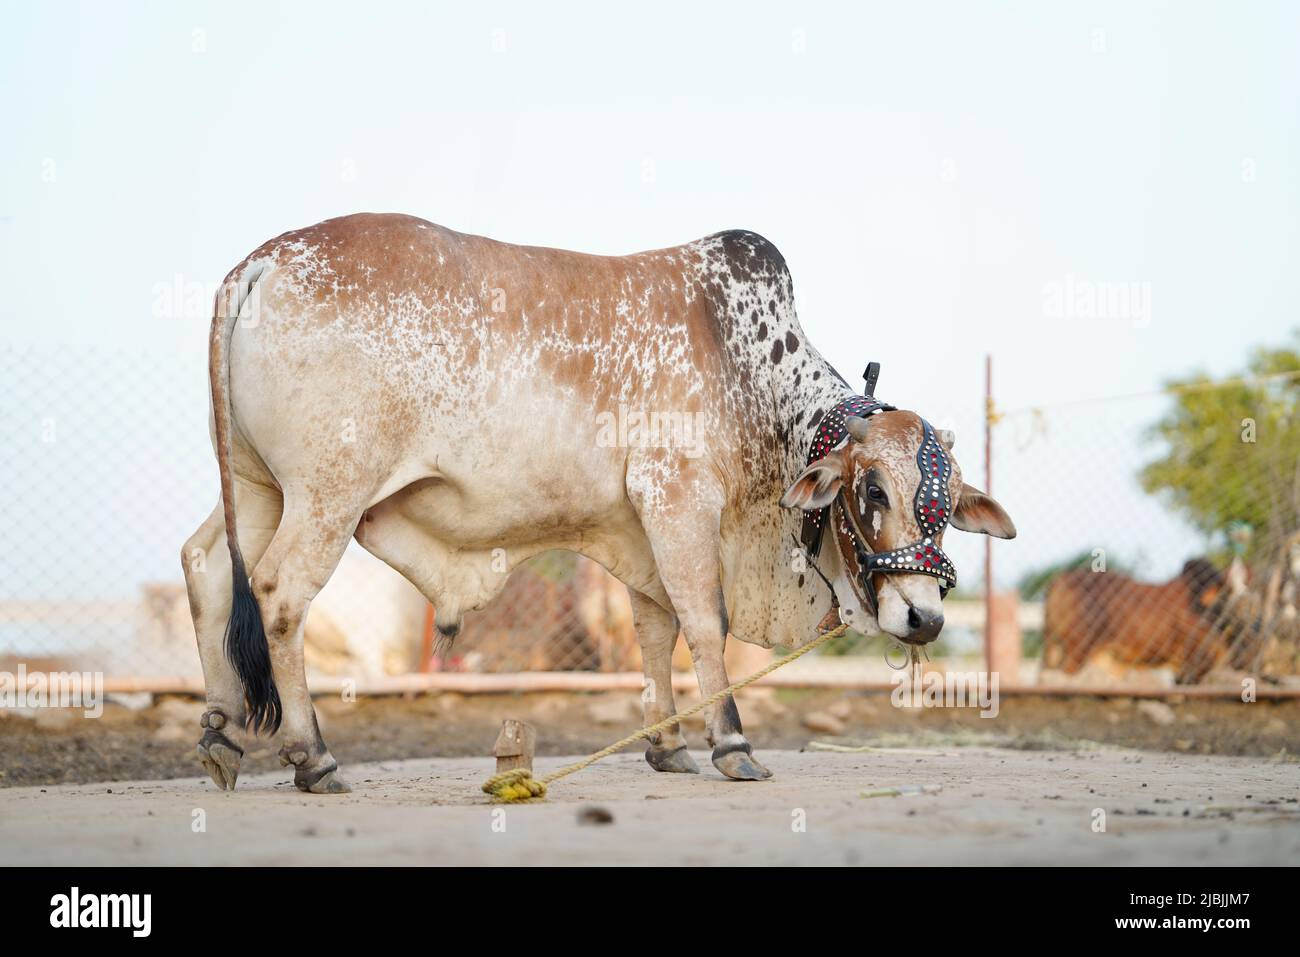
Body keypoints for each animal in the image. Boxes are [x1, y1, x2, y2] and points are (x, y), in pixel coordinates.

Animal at [183, 217, 1013, 790]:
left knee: (206, 565)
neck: (747, 374)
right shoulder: (679, 500)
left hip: (257, 486)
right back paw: (314, 756)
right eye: (873, 490)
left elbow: (655, 632)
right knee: (279, 591)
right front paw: (731, 744)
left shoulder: (637, 530)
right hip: (327, 492)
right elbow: (703, 623)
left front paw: (668, 745)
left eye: (947, 503)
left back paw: (221, 734)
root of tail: (261, 261)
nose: (925, 617)